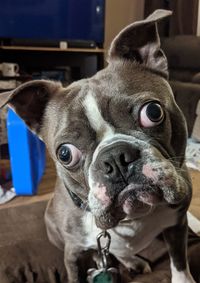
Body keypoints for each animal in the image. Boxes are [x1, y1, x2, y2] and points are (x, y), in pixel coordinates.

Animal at [0, 9, 196, 283]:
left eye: (153, 112)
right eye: (65, 154)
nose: (115, 158)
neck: (131, 218)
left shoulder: (178, 224)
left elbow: (179, 262)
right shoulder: (72, 253)